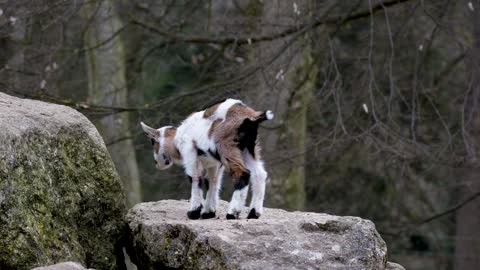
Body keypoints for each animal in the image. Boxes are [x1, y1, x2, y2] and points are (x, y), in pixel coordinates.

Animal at [140, 98, 274, 219]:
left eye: (152, 141)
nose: (156, 163)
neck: (177, 138)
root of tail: (250, 115)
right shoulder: (214, 164)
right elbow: (212, 181)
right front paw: (208, 212)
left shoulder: (190, 154)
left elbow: (195, 178)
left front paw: (193, 212)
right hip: (248, 148)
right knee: (260, 174)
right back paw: (253, 213)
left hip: (227, 146)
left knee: (242, 173)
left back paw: (232, 213)